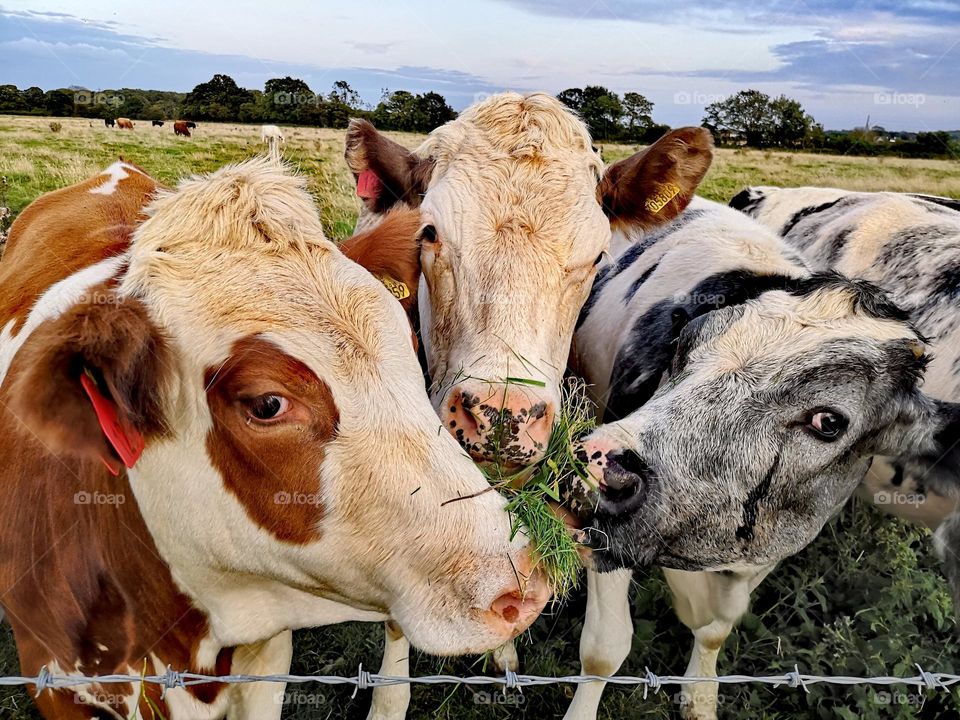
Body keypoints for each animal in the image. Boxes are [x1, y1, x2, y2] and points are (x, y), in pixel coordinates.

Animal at [563, 197, 960, 720]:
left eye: (829, 421)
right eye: (683, 346)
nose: (598, 467)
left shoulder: (772, 548)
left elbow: (715, 631)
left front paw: (700, 695)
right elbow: (604, 649)